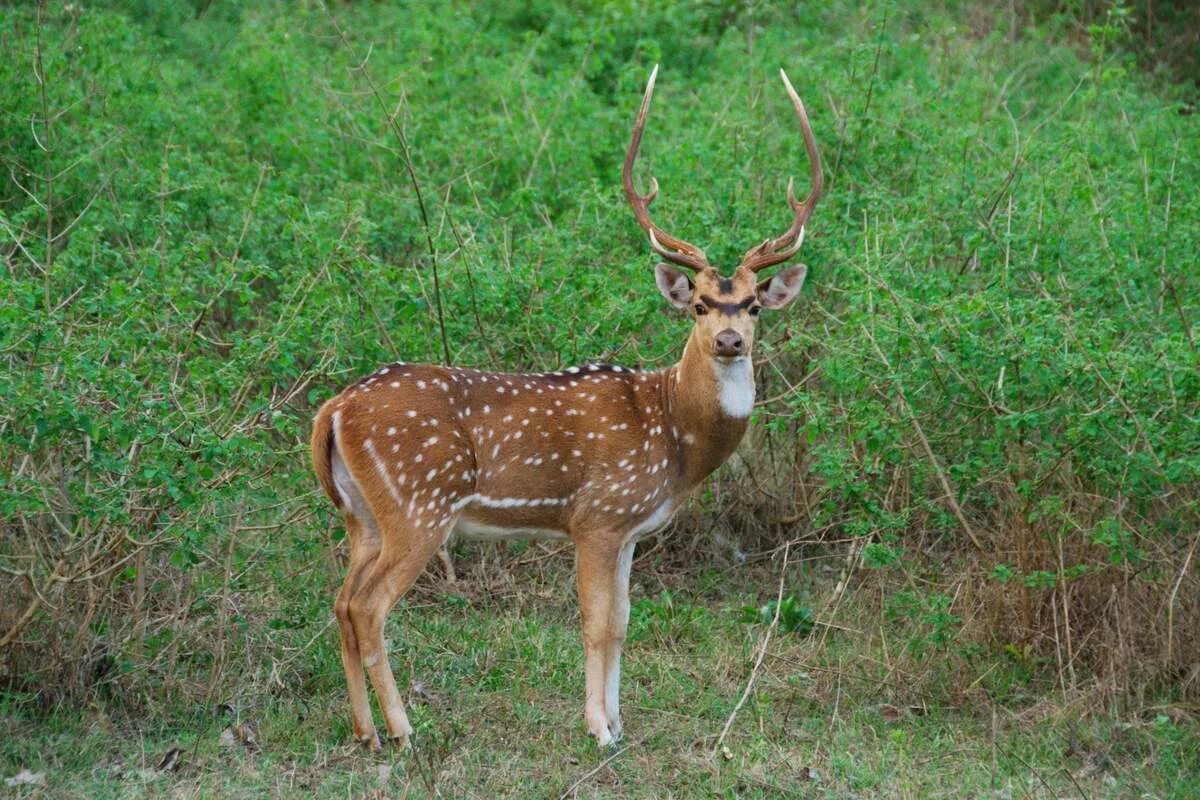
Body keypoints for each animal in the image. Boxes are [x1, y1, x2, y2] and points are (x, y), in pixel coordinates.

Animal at [307, 64, 825, 753]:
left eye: (754, 305)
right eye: (699, 305)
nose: (729, 340)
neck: (674, 435)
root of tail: (334, 409)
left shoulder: (630, 529)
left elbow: (625, 621)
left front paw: (622, 723)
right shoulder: (596, 516)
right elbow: (595, 623)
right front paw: (599, 729)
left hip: (359, 515)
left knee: (341, 603)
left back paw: (365, 733)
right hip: (419, 505)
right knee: (368, 606)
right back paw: (404, 732)